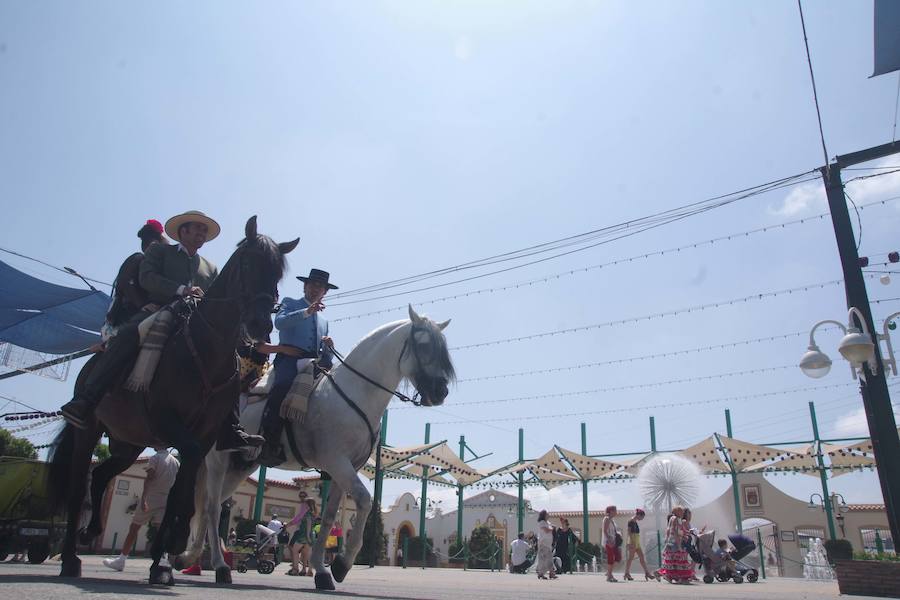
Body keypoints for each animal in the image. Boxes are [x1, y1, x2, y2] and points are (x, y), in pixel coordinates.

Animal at [49, 218, 298, 584]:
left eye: (277, 273)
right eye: (247, 264)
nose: (260, 324)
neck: (205, 348)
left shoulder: (206, 434)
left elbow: (182, 487)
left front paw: (162, 560)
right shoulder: (170, 421)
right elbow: (186, 480)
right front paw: (175, 544)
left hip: (128, 443)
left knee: (103, 475)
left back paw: (93, 530)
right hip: (88, 432)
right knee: (79, 484)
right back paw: (70, 558)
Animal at [175, 304, 454, 592]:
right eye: (424, 346)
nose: (440, 392)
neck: (354, 393)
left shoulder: (346, 469)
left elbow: (330, 518)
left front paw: (323, 570)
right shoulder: (336, 461)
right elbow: (365, 501)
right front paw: (342, 564)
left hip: (241, 465)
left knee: (210, 504)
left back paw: (189, 557)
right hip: (218, 460)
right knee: (212, 508)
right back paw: (218, 566)